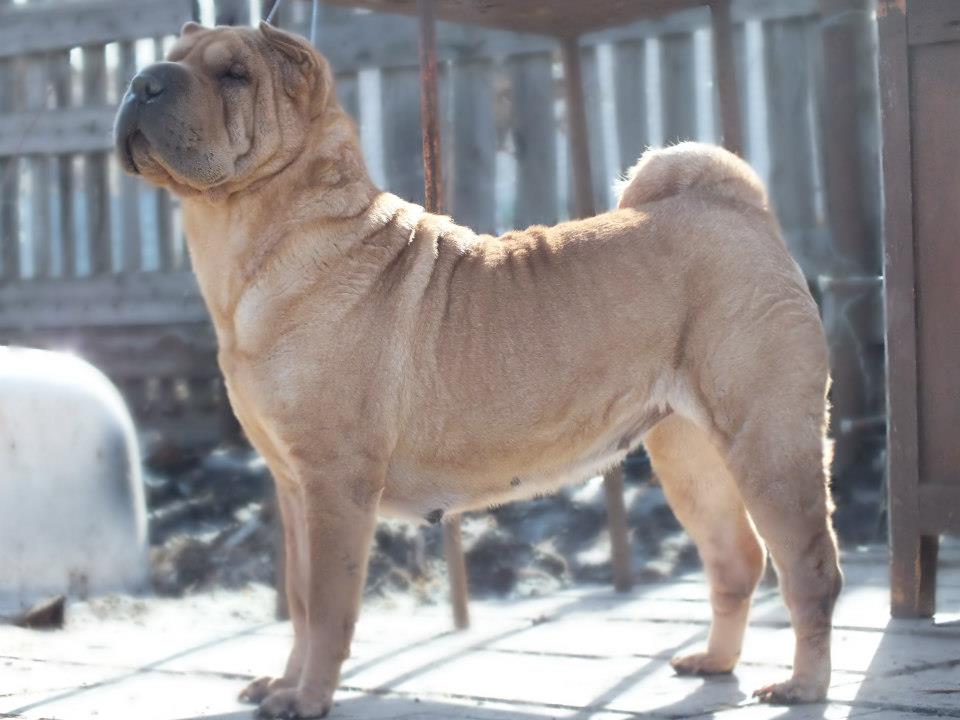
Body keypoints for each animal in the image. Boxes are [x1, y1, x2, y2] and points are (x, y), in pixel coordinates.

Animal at [114, 21, 842, 718]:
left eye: (233, 74)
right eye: (170, 56)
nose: (143, 81)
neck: (256, 242)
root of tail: (739, 209)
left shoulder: (334, 484)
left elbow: (325, 606)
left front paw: (307, 699)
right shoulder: (293, 486)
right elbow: (295, 599)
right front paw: (284, 684)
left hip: (768, 446)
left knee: (809, 570)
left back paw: (802, 687)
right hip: (688, 455)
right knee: (737, 560)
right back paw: (713, 663)